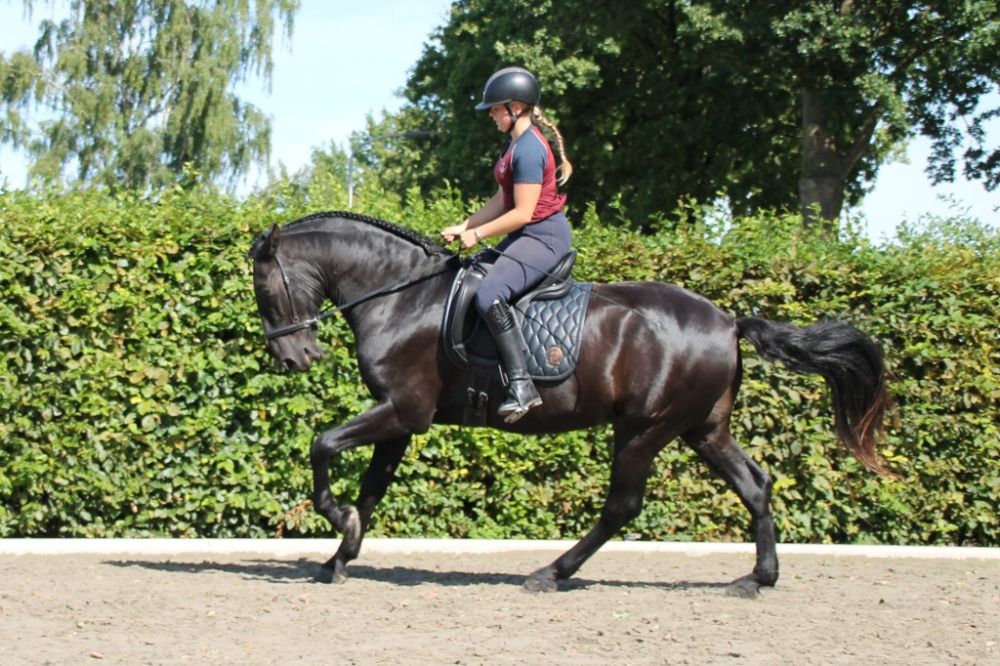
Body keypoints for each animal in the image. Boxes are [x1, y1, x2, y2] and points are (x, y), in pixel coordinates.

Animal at [249, 211, 892, 596]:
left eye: (262, 286)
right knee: (755, 486)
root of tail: (730, 319)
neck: (403, 296)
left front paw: (337, 524)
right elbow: (372, 489)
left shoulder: (403, 410)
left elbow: (322, 446)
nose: (296, 358)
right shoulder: (401, 420)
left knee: (622, 507)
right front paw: (341, 555)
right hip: (702, 429)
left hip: (643, 430)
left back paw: (549, 573)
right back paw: (757, 579)